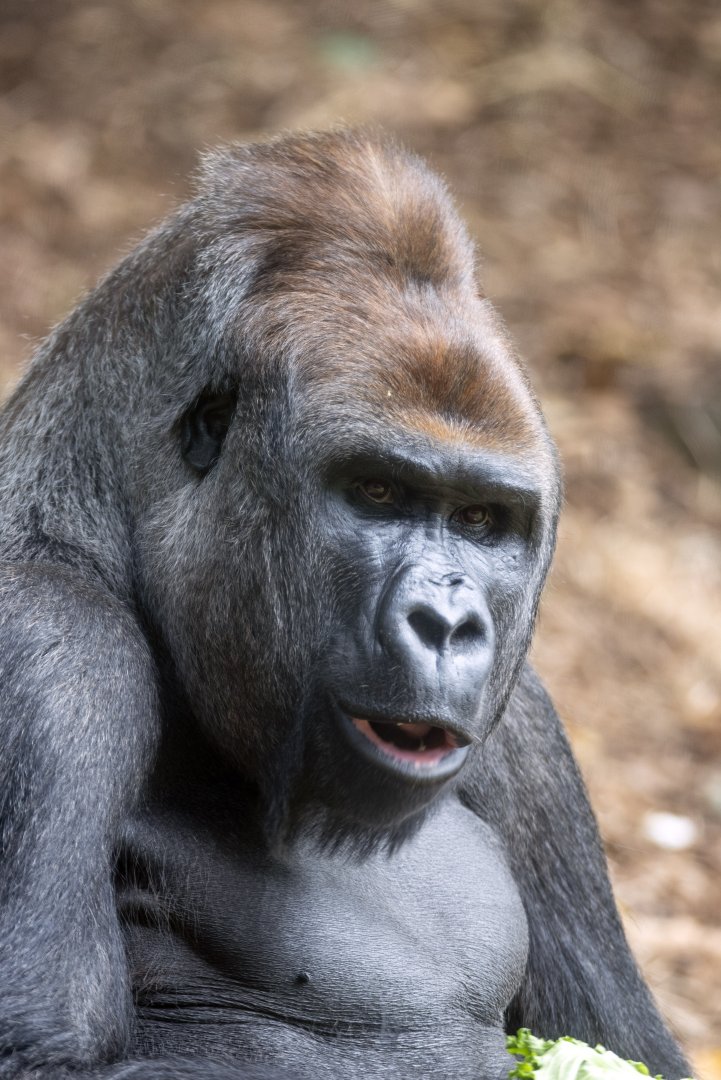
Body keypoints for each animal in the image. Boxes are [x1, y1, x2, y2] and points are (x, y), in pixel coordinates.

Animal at [0, 130, 691, 1079]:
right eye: (377, 492)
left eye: (481, 520)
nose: (447, 625)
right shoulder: (49, 651)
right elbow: (39, 1042)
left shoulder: (529, 732)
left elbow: (624, 1043)